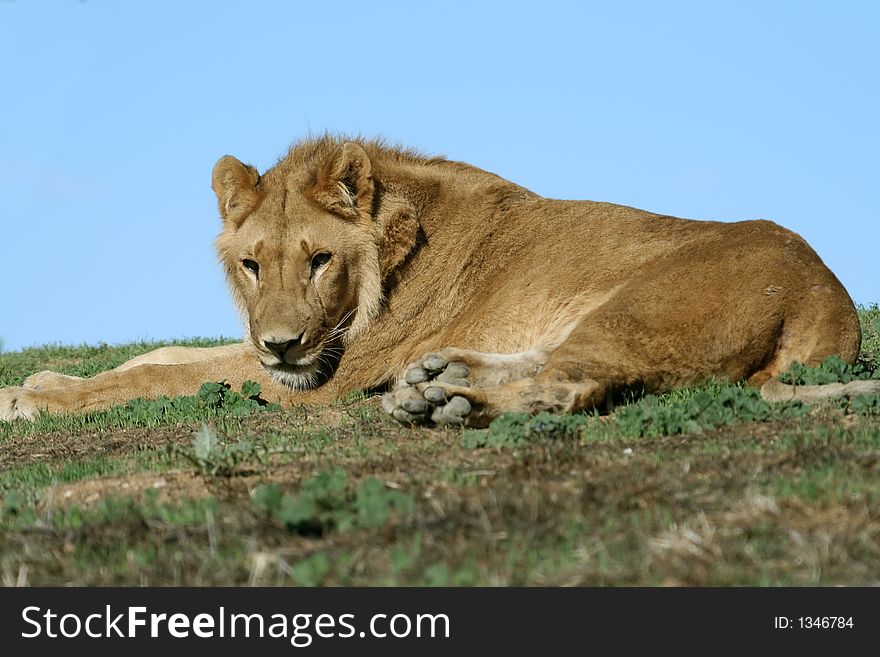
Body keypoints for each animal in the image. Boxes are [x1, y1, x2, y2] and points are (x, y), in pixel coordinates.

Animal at [3, 136, 876, 428]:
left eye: (318, 260)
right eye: (253, 263)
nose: (281, 343)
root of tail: (830, 300)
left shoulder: (319, 376)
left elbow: (165, 377)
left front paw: (32, 398)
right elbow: (164, 357)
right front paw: (36, 382)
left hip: (646, 303)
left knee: (567, 388)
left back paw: (439, 403)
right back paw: (437, 377)